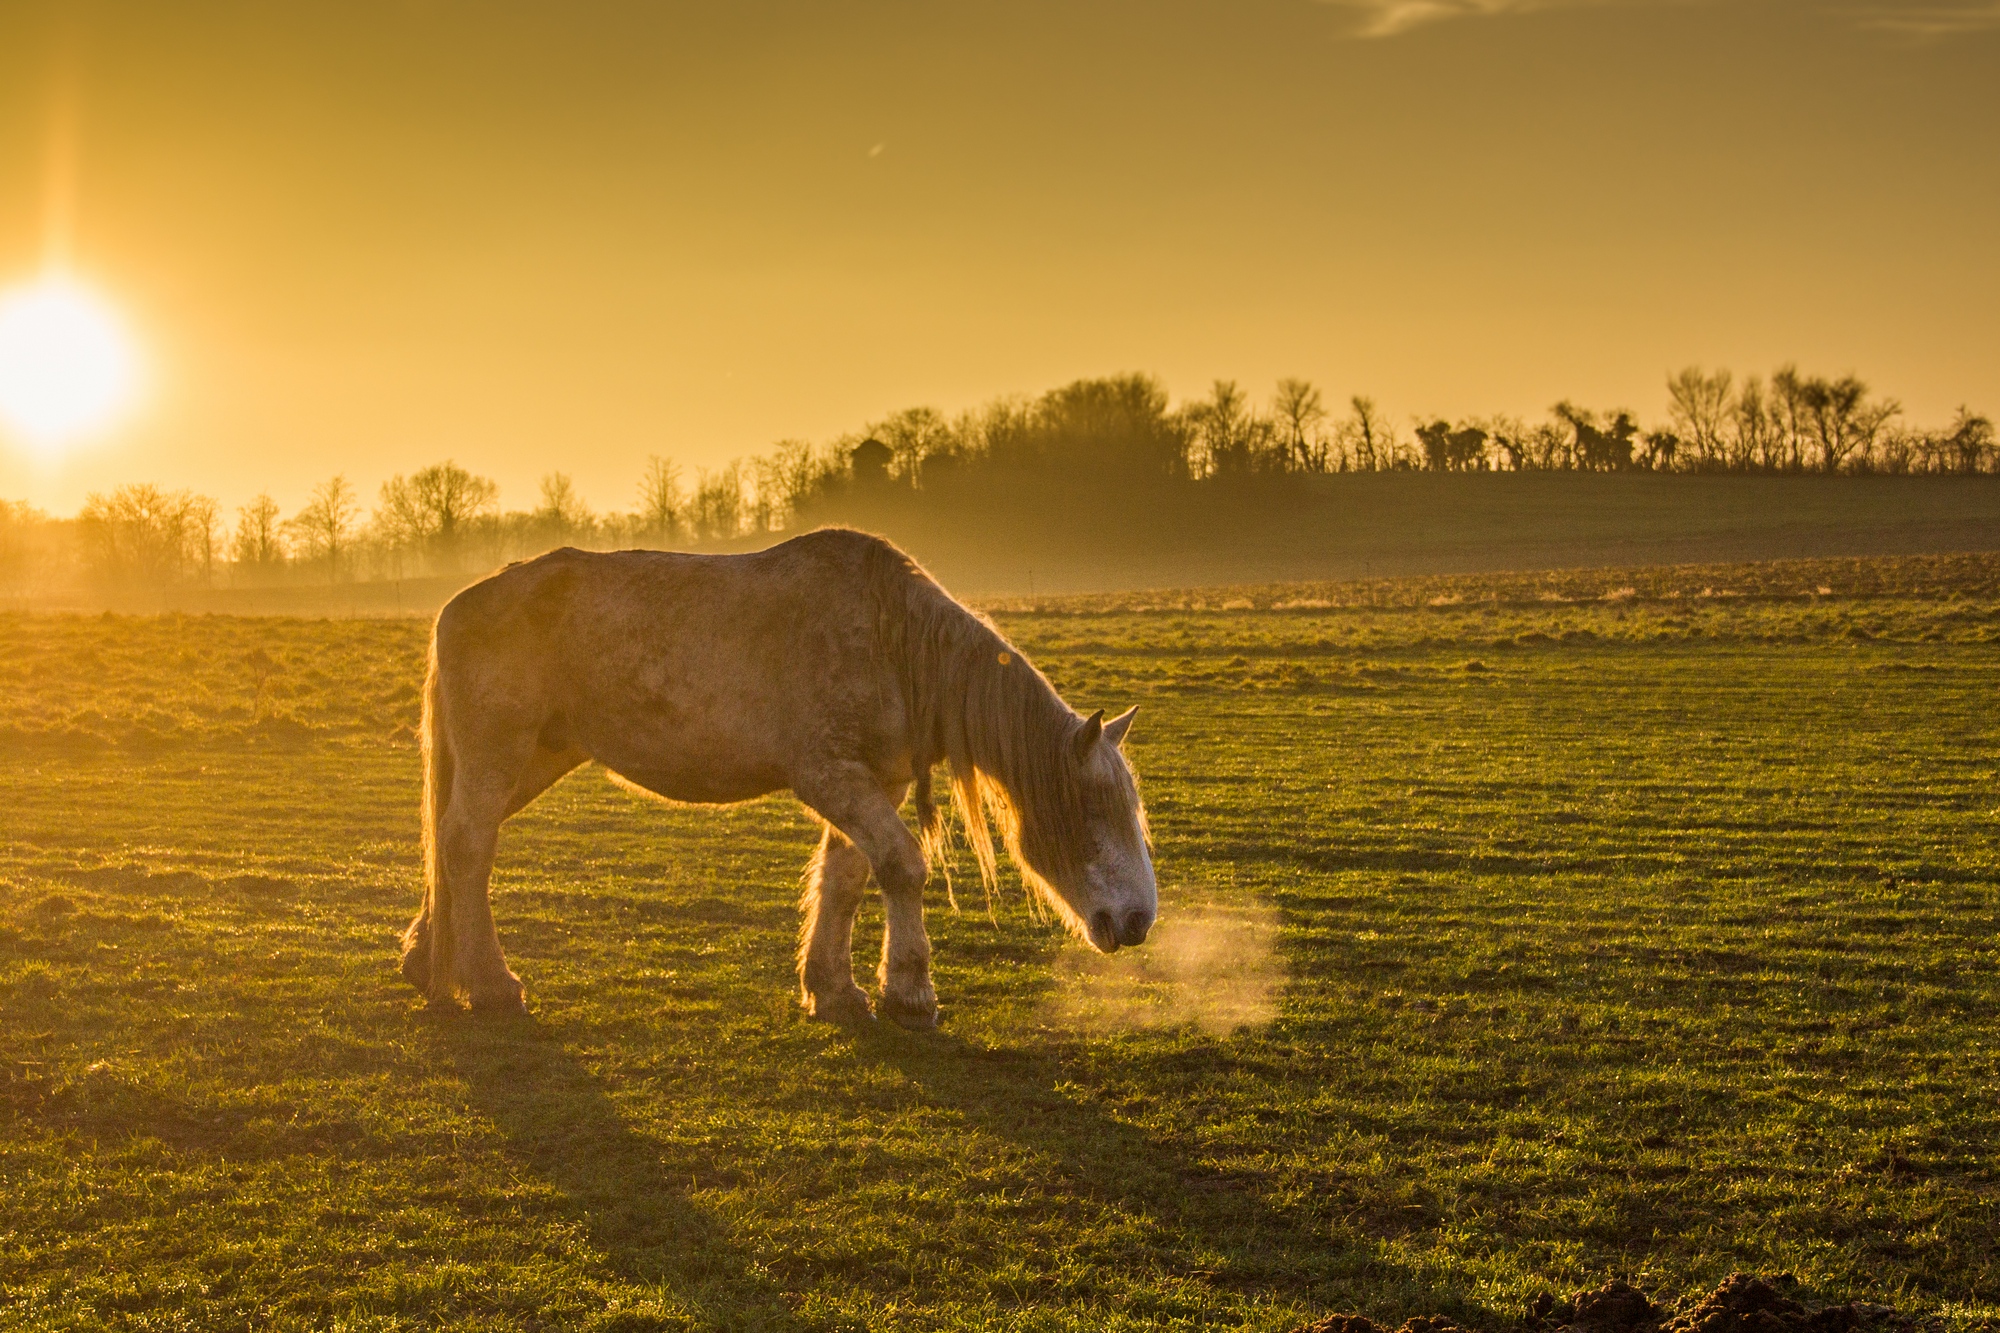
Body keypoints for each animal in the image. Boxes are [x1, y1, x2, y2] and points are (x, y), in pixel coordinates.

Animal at [402, 524, 1160, 1020]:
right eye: (1094, 808)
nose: (1138, 920)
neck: (893, 644)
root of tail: (454, 607)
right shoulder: (828, 776)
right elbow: (901, 867)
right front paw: (909, 991)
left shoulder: (875, 783)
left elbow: (846, 878)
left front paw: (833, 988)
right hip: (498, 758)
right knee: (467, 844)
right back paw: (491, 983)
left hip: (531, 761)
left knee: (450, 841)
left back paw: (426, 959)